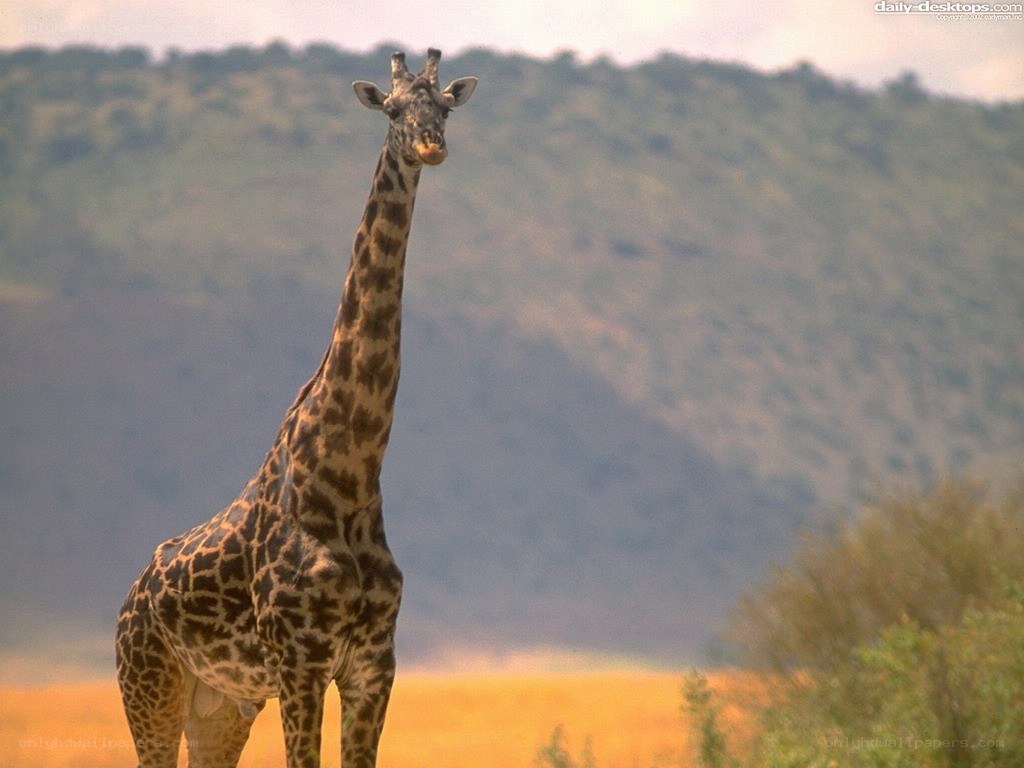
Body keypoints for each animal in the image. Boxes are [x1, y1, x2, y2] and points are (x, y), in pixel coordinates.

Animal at [115, 49, 477, 768]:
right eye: (393, 110)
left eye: (445, 108)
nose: (431, 145)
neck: (348, 474)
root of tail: (127, 601)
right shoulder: (299, 660)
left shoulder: (373, 662)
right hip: (148, 689)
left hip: (220, 705)